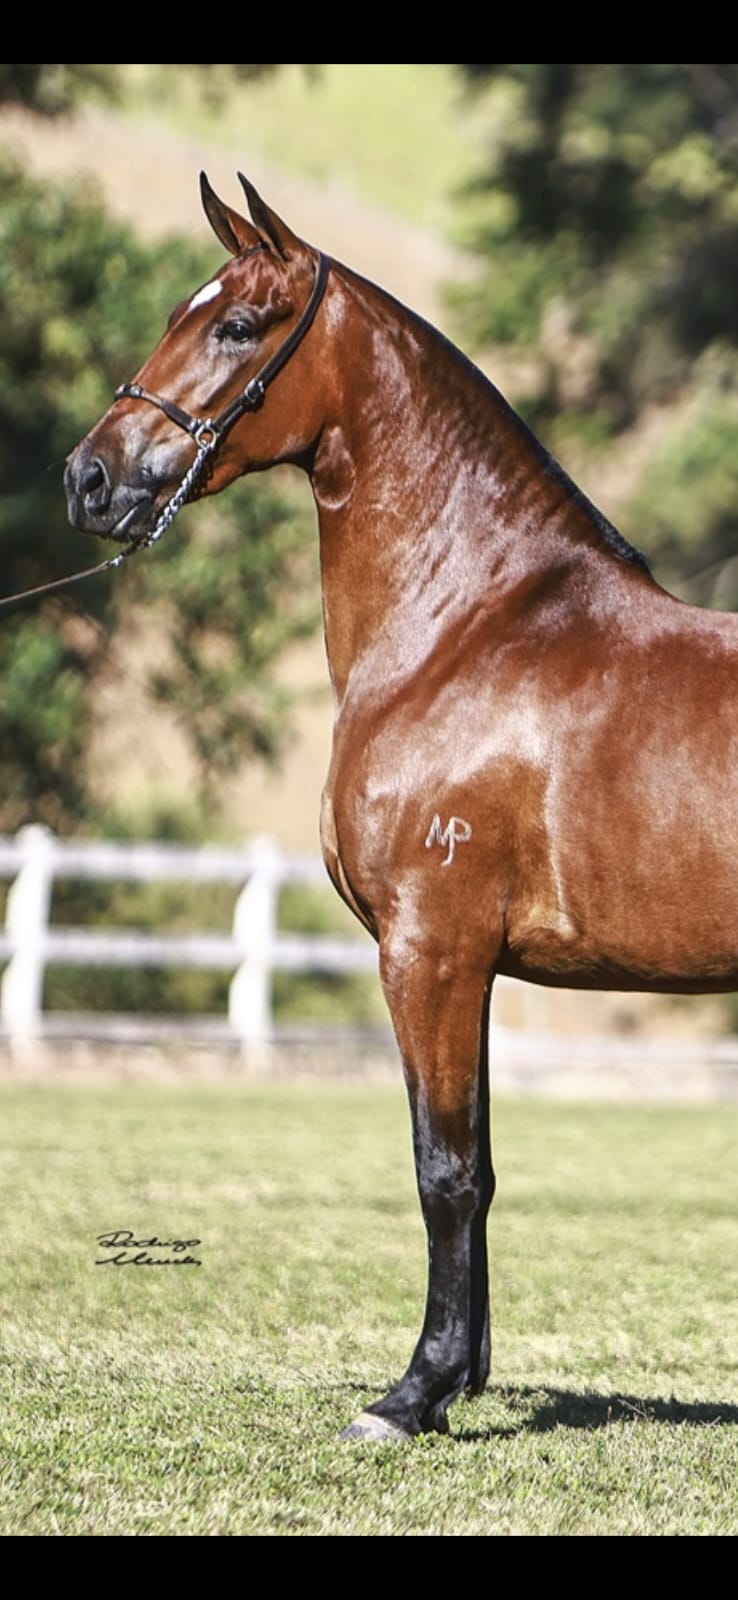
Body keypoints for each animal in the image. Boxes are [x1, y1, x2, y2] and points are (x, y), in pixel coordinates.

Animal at [64, 173, 738, 1443]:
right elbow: (477, 1164)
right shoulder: (467, 964)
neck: (467, 626)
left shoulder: (430, 948)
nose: (89, 479)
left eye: (239, 324)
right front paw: (461, 1374)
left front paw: (412, 1393)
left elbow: (445, 1171)